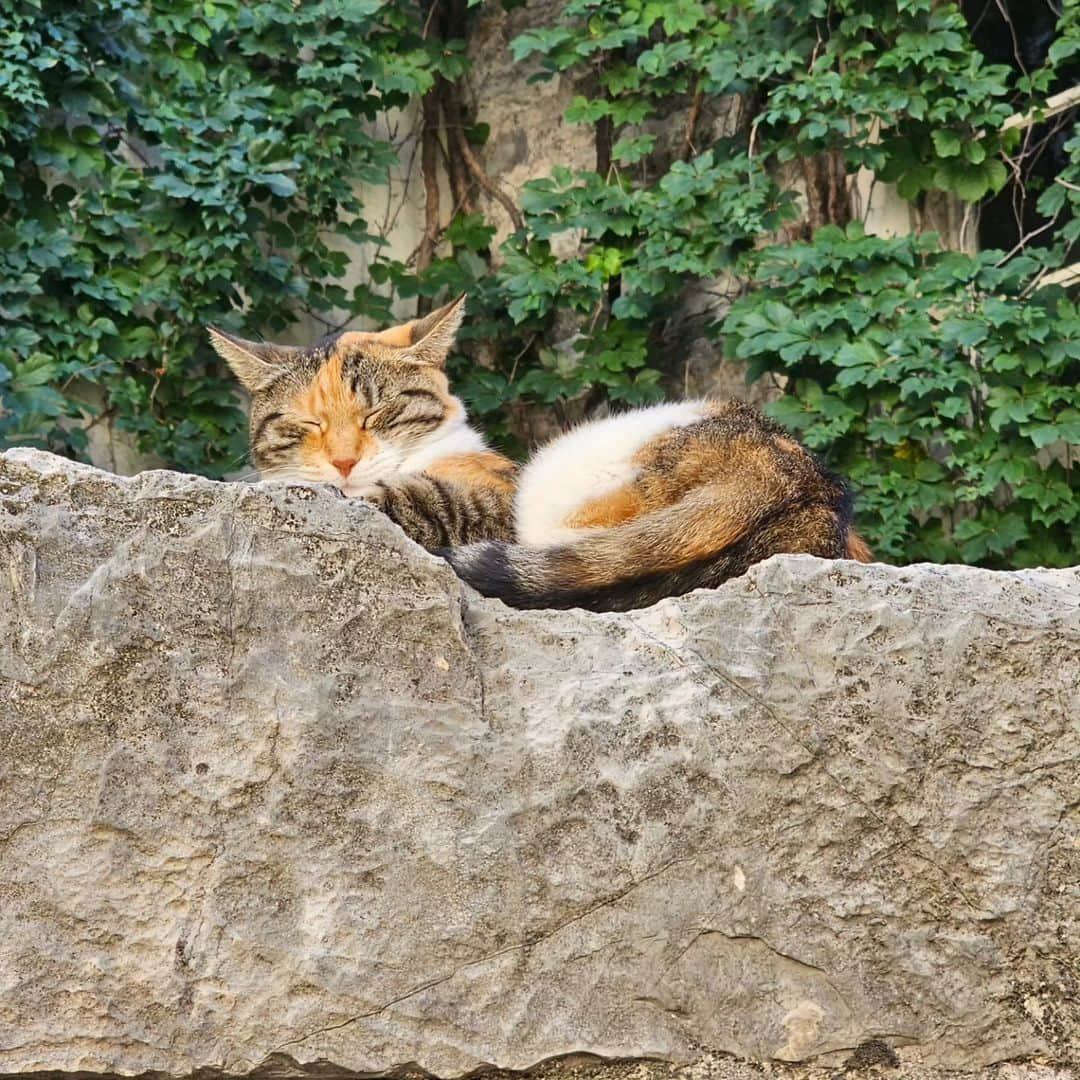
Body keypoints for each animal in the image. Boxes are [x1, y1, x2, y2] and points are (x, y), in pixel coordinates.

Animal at [210, 295, 868, 613]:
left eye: (377, 415)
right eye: (307, 424)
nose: (343, 463)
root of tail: (801, 481)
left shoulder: (490, 501)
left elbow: (413, 500)